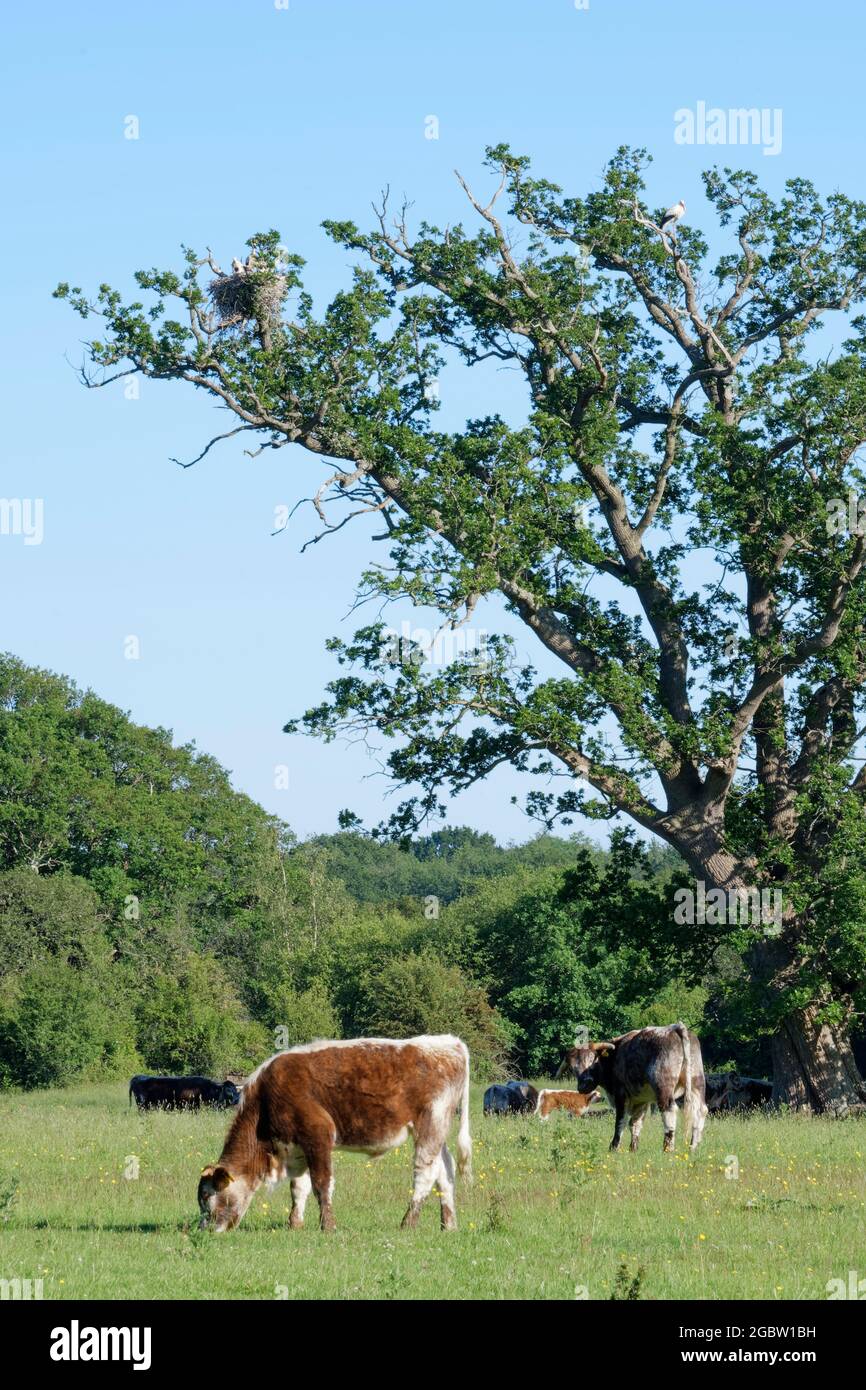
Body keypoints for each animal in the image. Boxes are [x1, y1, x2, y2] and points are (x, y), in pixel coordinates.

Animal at [567, 1023, 708, 1150]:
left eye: (593, 1061)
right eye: (572, 1068)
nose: (584, 1085)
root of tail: (675, 1028)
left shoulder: (621, 1095)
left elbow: (621, 1121)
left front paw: (614, 1147)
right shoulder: (642, 1100)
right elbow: (635, 1123)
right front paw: (633, 1148)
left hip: (663, 1087)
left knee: (669, 1111)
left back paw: (668, 1149)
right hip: (696, 1082)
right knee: (701, 1110)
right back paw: (692, 1148)